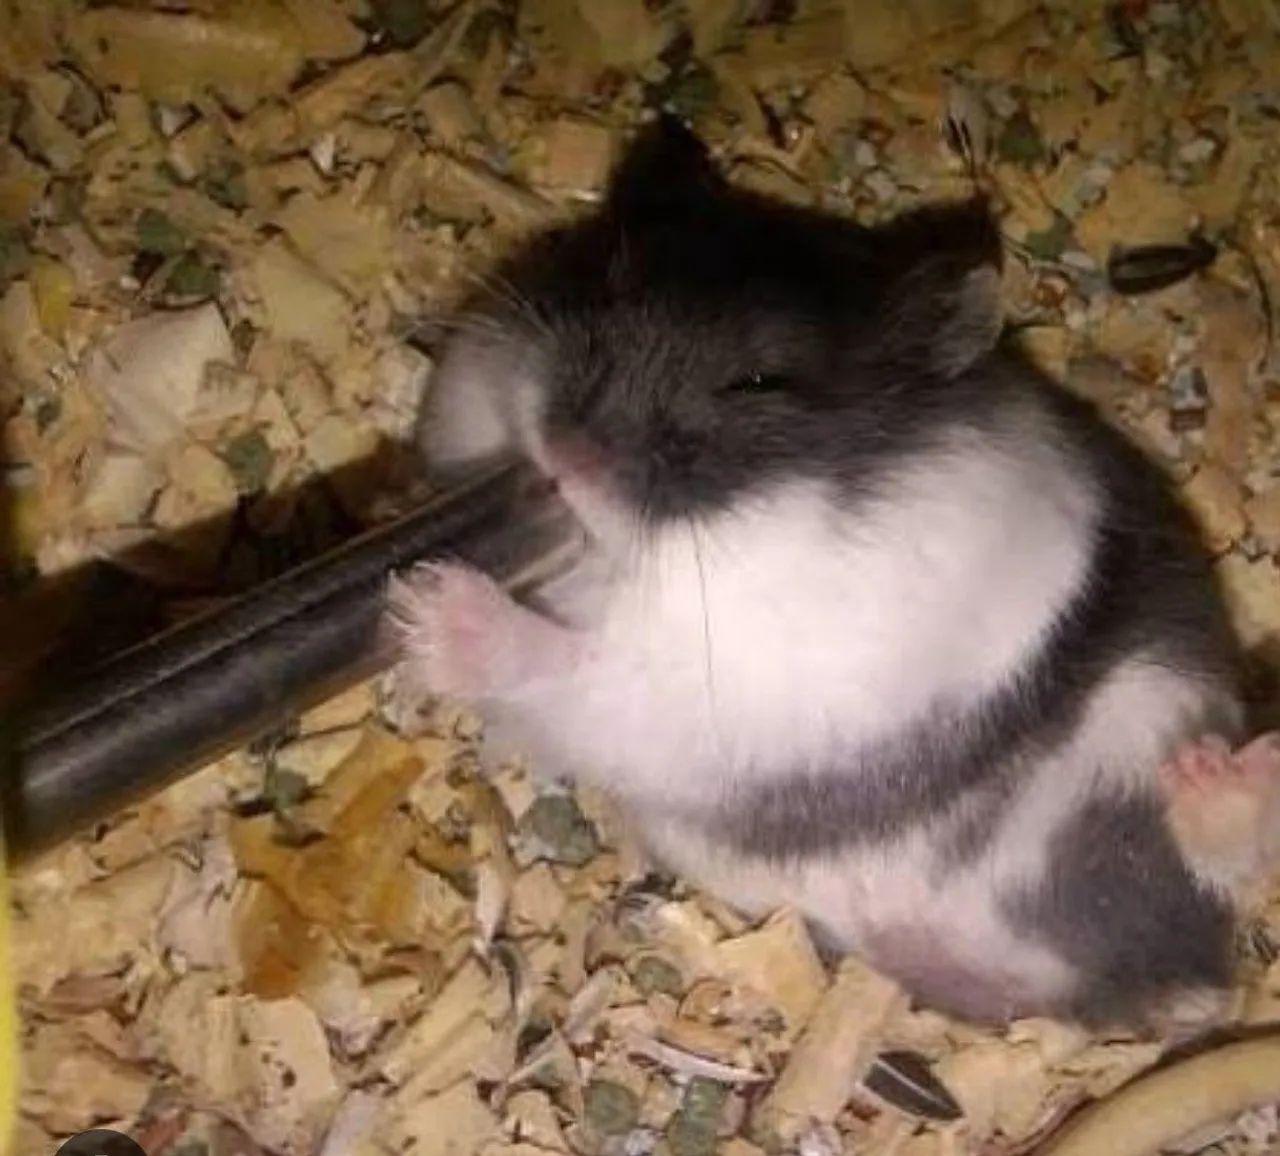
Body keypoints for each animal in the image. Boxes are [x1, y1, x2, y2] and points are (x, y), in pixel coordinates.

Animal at [388, 115, 1280, 1034]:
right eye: (613, 277)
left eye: (760, 380)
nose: (566, 456)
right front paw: (412, 565)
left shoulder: (724, 694)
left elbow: (581, 672)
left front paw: (429, 600)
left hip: (1142, 737)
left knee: (1213, 867)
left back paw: (1226, 781)